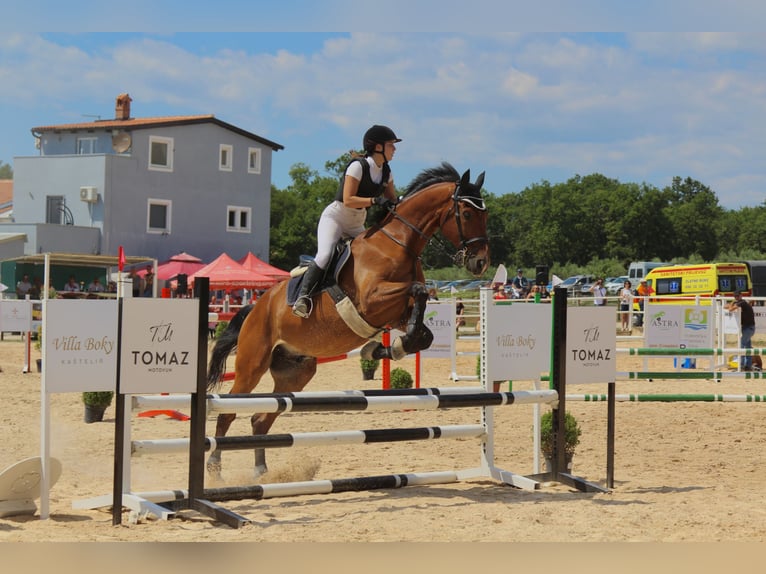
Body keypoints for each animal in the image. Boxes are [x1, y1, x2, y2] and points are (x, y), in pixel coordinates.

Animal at [206, 161, 492, 476]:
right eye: (467, 213)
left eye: (485, 214)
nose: (481, 263)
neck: (397, 245)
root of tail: (255, 308)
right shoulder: (371, 301)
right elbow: (418, 290)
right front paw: (384, 347)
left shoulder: (397, 313)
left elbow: (423, 329)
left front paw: (386, 348)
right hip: (251, 366)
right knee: (228, 411)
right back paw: (215, 468)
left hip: (296, 372)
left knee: (261, 418)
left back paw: (262, 470)